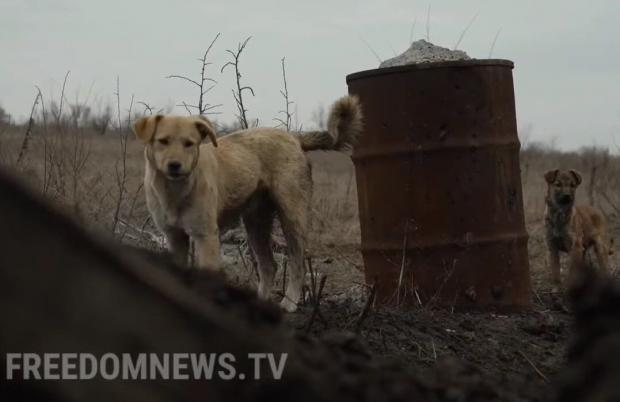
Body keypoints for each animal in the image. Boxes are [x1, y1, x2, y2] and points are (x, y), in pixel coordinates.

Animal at [132, 96, 364, 312]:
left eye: (189, 143)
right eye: (162, 141)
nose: (174, 165)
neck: (175, 191)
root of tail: (292, 136)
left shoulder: (206, 236)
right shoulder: (174, 237)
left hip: (292, 216)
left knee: (297, 264)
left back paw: (289, 303)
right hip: (255, 224)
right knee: (269, 265)